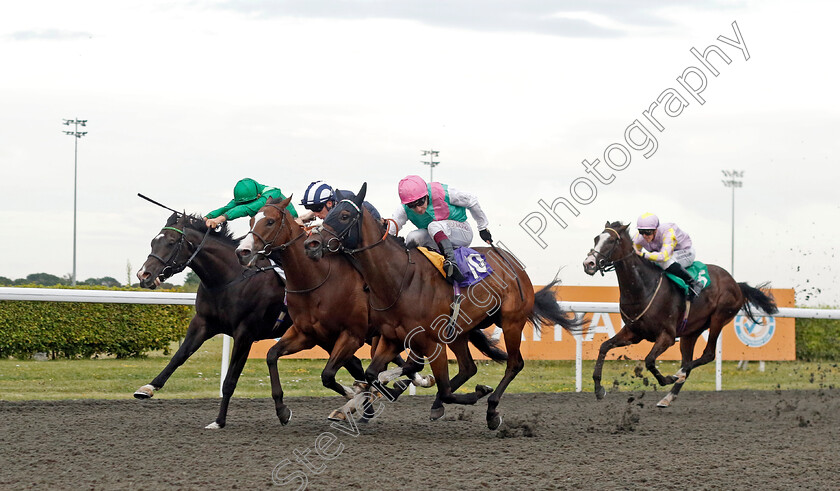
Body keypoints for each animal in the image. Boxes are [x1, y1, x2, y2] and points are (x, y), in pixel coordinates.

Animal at [135, 213, 364, 428]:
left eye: (171, 242)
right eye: (153, 242)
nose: (143, 275)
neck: (229, 279)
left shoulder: (244, 333)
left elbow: (229, 381)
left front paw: (219, 421)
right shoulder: (203, 324)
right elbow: (179, 356)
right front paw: (148, 388)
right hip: (322, 336)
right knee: (355, 364)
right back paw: (352, 401)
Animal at [233, 198, 502, 424]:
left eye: (269, 221)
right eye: (251, 220)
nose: (243, 252)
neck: (318, 278)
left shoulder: (351, 335)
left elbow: (329, 374)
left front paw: (356, 397)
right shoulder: (307, 334)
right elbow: (272, 355)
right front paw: (282, 409)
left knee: (411, 364)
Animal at [304, 184, 584, 430]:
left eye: (344, 215)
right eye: (327, 213)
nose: (311, 244)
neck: (399, 279)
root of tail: (514, 265)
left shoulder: (431, 343)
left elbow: (443, 387)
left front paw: (479, 393)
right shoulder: (391, 338)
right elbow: (374, 373)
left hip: (511, 322)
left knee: (514, 364)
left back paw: (492, 409)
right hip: (460, 330)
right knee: (469, 367)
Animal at [580, 223, 776, 408]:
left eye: (612, 240)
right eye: (596, 238)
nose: (589, 263)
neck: (643, 288)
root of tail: (736, 284)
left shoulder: (667, 336)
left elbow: (649, 360)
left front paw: (667, 378)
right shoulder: (633, 333)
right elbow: (604, 346)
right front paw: (599, 389)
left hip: (719, 318)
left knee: (707, 355)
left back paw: (678, 374)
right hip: (691, 332)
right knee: (688, 359)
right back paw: (669, 396)